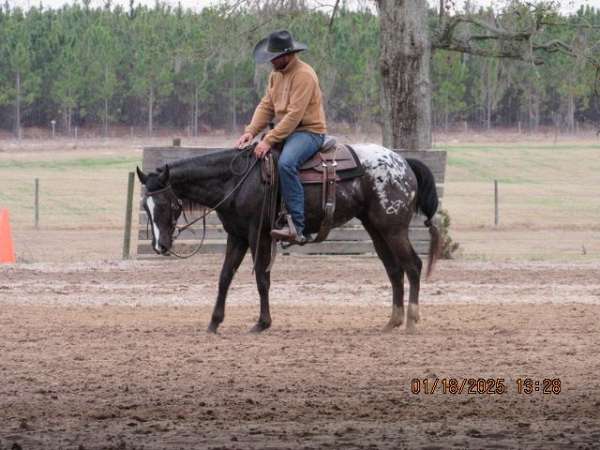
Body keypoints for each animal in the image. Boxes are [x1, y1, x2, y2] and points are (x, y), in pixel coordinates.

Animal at [138, 142, 442, 332]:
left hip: (394, 228)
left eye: (166, 204)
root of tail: (402, 162)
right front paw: (214, 323)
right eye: (145, 206)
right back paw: (392, 321)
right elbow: (225, 277)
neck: (236, 182)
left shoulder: (258, 234)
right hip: (376, 228)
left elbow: (262, 278)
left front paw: (262, 323)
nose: (160, 246)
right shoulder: (236, 235)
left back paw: (411, 320)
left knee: (413, 266)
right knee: (394, 270)